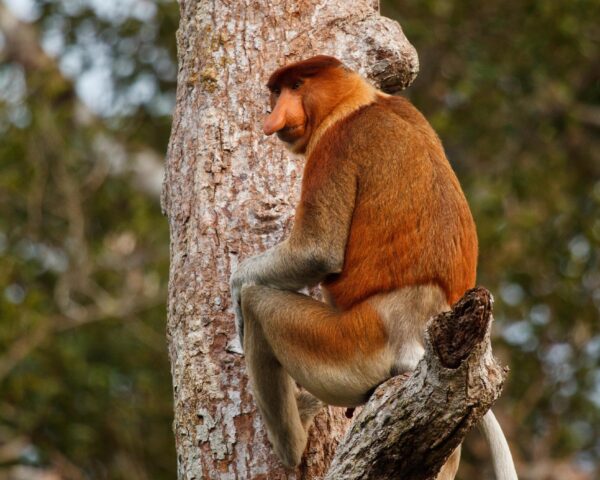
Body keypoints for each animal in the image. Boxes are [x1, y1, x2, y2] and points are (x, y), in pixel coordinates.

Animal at [230, 54, 520, 478]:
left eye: (297, 86)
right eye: (277, 90)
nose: (274, 117)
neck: (356, 103)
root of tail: (416, 333)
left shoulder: (333, 148)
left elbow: (317, 251)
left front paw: (235, 286)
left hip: (352, 343)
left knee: (258, 303)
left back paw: (293, 444)